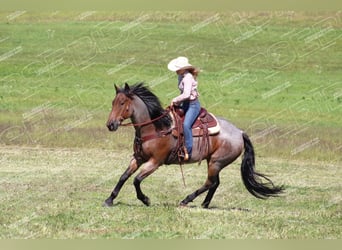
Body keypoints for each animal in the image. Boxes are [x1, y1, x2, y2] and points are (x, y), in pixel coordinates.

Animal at [104, 83, 284, 208]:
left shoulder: (155, 162)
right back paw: (204, 204)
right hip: (213, 162)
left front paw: (146, 199)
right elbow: (124, 176)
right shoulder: (138, 158)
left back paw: (186, 200)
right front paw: (109, 199)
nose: (110, 125)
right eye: (113, 102)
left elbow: (136, 180)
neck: (156, 127)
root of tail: (240, 132)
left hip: (216, 162)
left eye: (122, 103)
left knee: (210, 182)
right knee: (215, 183)